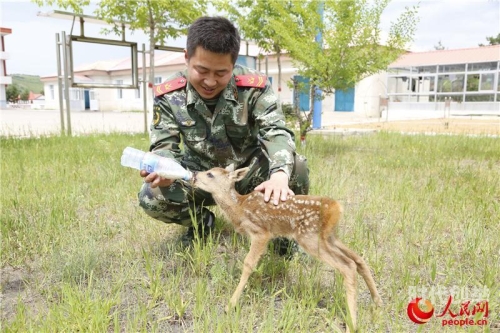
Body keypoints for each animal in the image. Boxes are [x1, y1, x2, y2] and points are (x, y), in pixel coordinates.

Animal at [191, 165, 382, 330]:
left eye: (210, 174)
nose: (194, 174)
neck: (239, 208)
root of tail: (337, 208)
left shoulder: (261, 232)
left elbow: (248, 264)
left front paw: (230, 305)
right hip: (328, 237)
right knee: (358, 259)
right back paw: (377, 302)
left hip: (309, 237)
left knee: (347, 265)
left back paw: (352, 324)